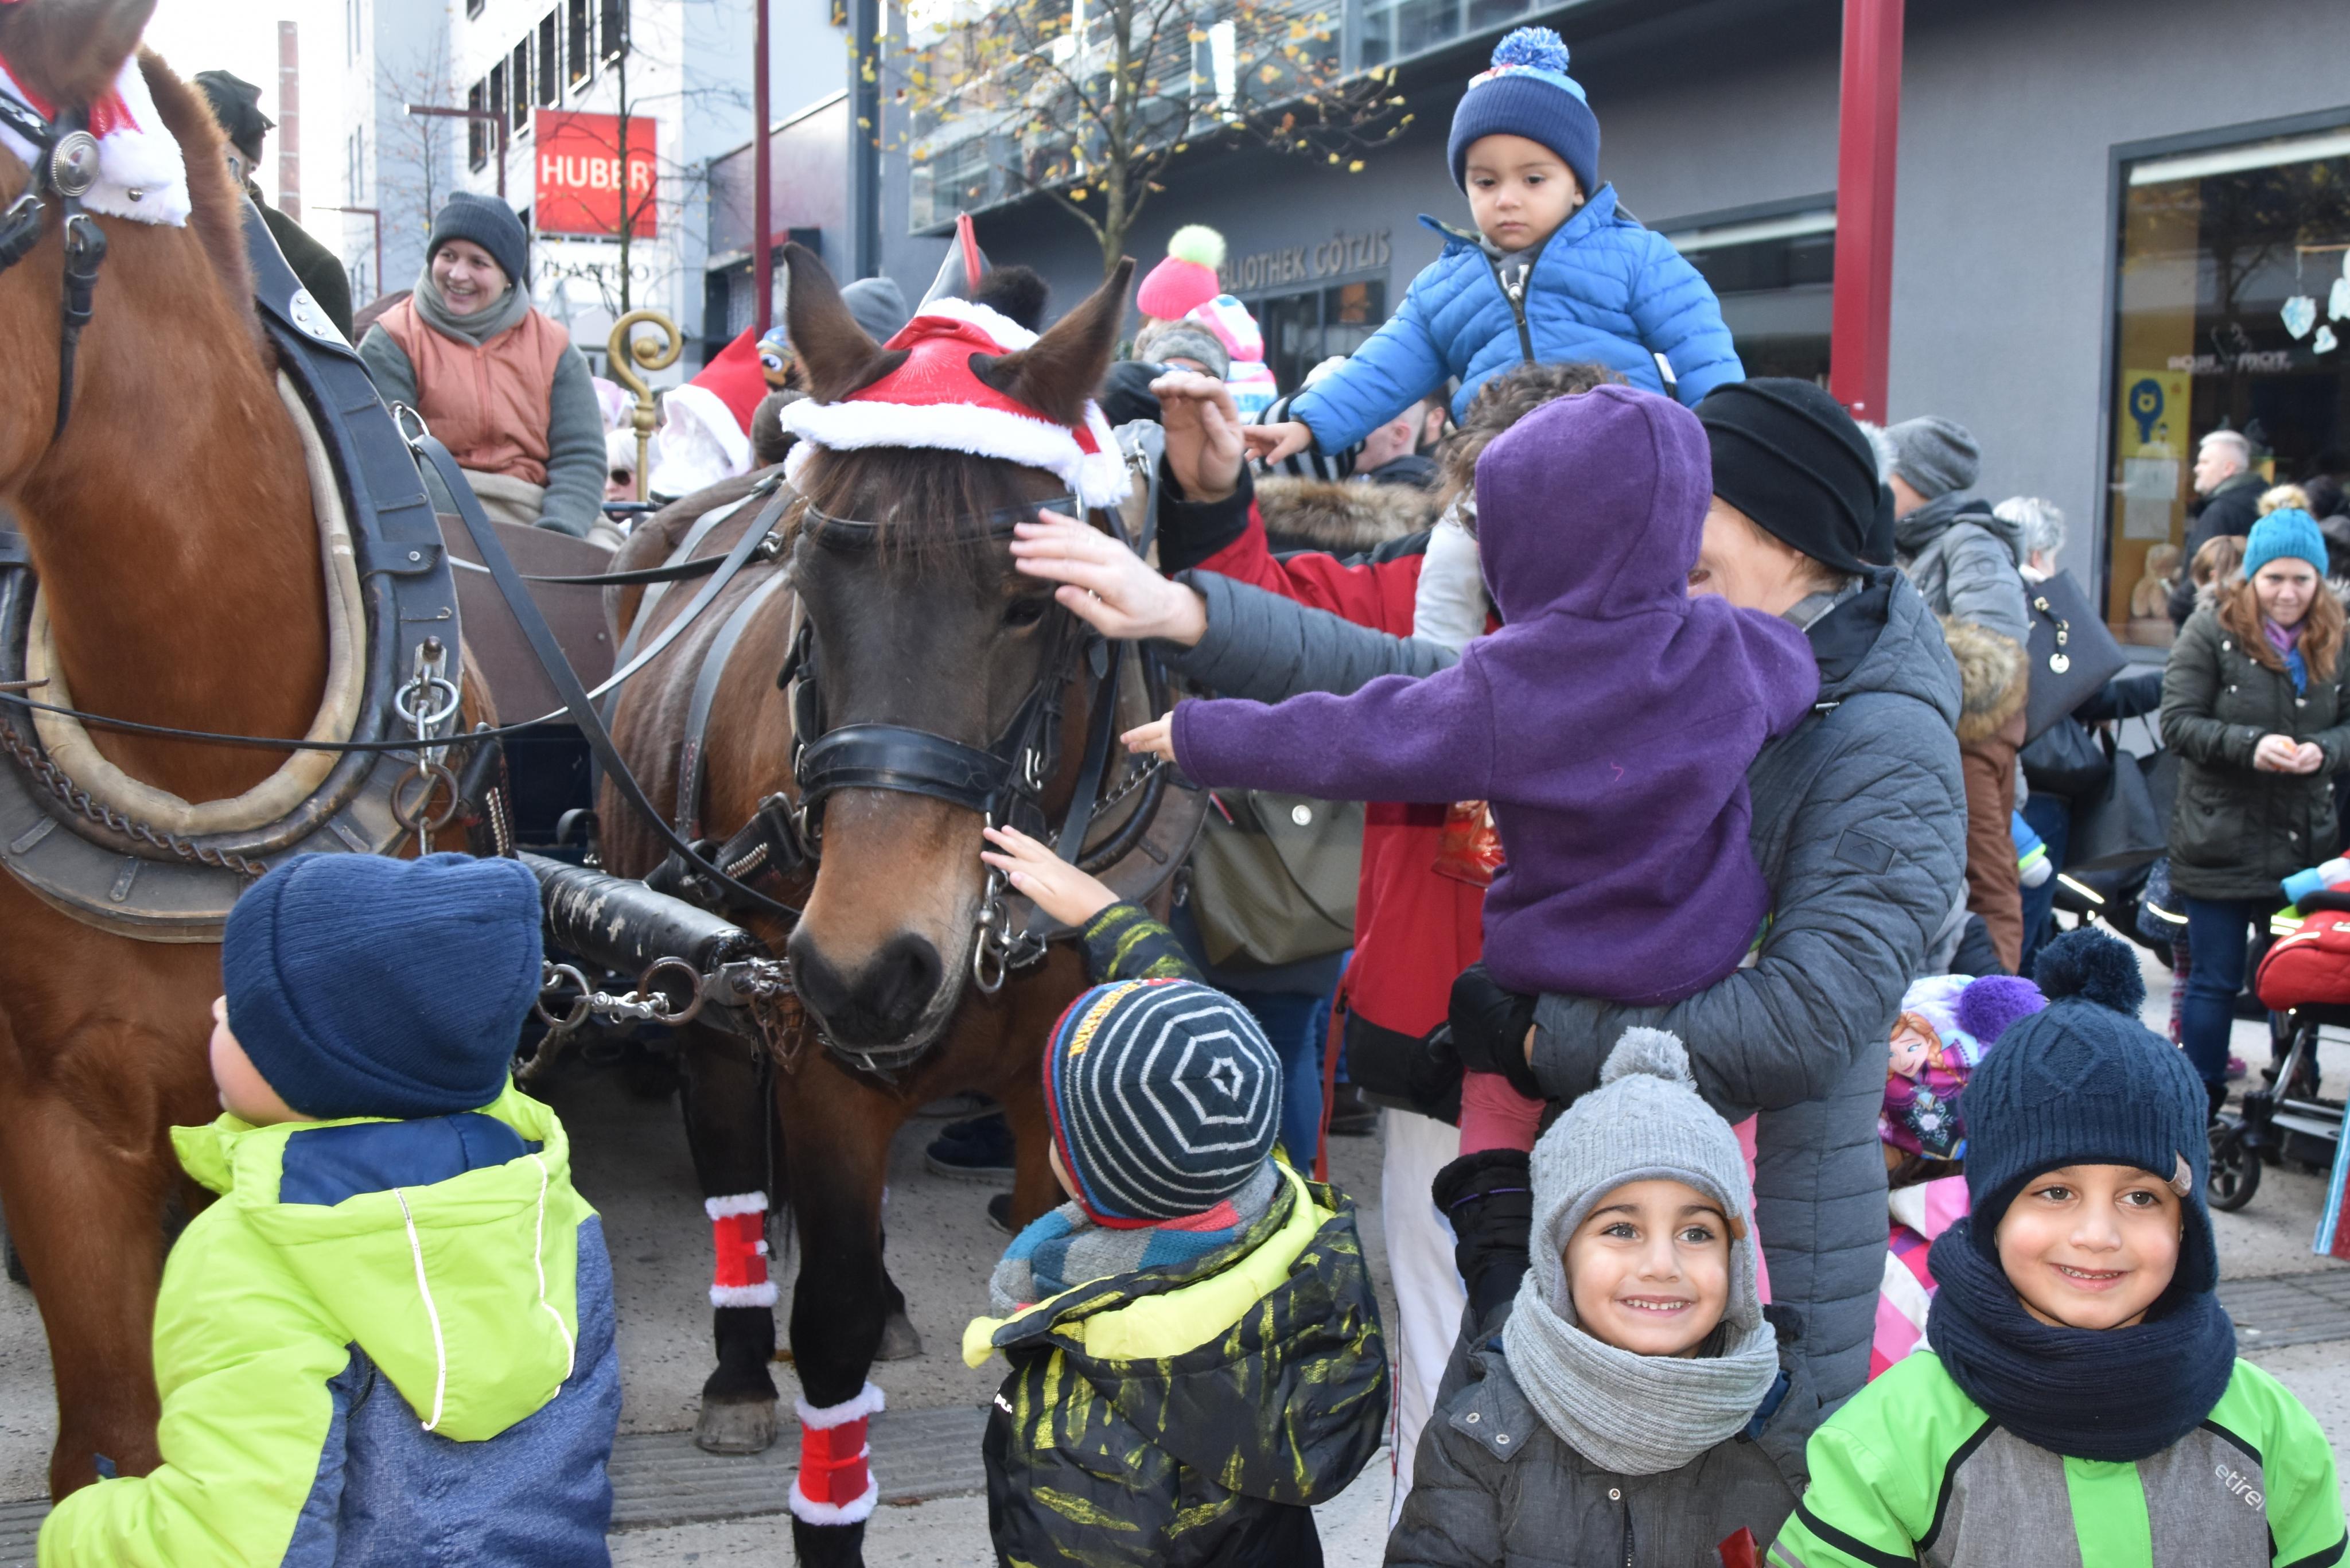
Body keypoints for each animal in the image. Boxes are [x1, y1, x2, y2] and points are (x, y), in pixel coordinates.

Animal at [598, 243, 1168, 1565]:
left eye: (1030, 600)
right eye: (807, 577)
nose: (866, 967)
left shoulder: (1057, 1088)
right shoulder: (818, 1065)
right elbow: (834, 1316)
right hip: (707, 996)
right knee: (732, 1171)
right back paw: (739, 1368)